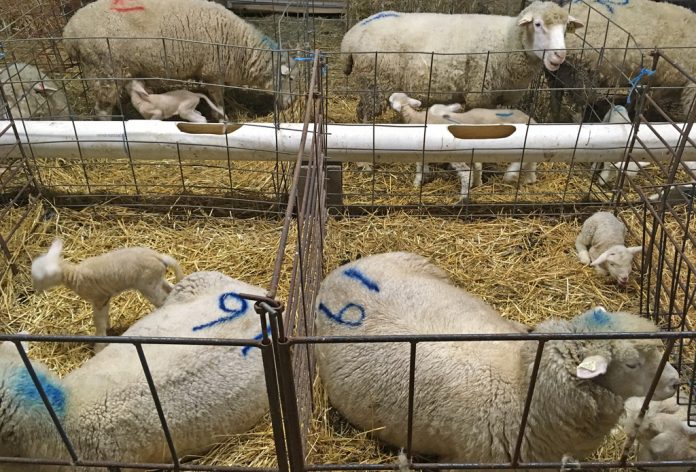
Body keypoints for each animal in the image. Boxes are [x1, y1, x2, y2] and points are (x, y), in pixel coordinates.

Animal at [30, 239, 184, 351]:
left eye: (41, 278)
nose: (35, 289)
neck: (74, 275)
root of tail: (159, 257)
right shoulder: (105, 297)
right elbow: (104, 317)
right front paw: (108, 327)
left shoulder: (99, 298)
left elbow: (98, 320)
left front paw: (99, 344)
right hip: (155, 279)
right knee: (169, 288)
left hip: (148, 285)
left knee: (162, 300)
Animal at [62, 0, 296, 121]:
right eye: (291, 79)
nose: (290, 104)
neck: (240, 48)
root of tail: (68, 31)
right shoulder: (212, 71)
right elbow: (217, 98)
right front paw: (222, 117)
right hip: (103, 67)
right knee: (102, 109)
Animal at [341, 2, 584, 122]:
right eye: (538, 24)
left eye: (566, 28)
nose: (559, 56)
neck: (507, 40)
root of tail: (352, 34)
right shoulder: (480, 94)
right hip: (376, 83)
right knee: (366, 116)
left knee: (360, 112)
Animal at [549, 0, 696, 123]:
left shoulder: (645, 81)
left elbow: (638, 100)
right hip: (581, 75)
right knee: (578, 108)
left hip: (558, 73)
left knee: (555, 100)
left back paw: (555, 120)